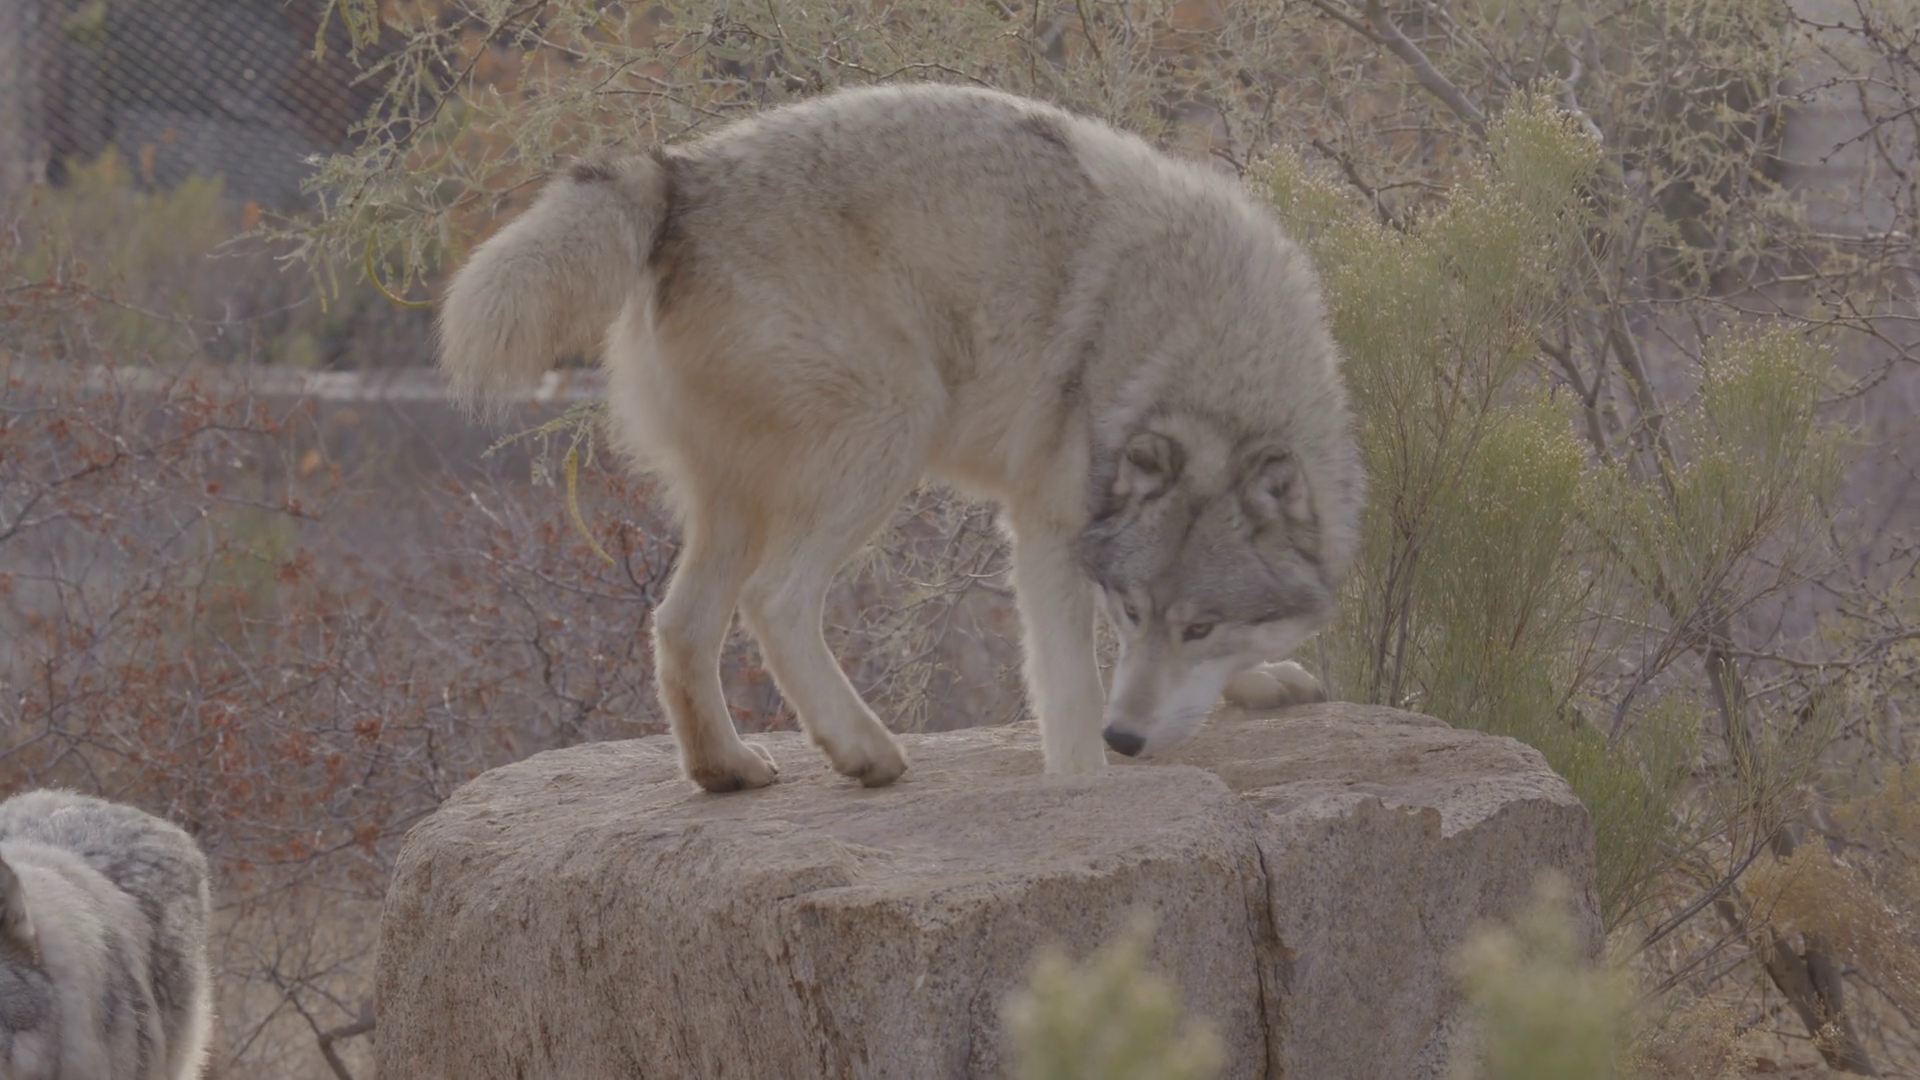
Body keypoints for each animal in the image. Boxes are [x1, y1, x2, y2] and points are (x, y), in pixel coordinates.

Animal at [438, 82, 1364, 793]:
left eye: (1201, 629)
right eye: (1135, 610)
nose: (1128, 741)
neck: (1210, 347)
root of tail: (679, 174)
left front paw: (1255, 684)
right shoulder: (1047, 529)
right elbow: (1067, 687)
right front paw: (1083, 783)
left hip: (739, 504)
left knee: (680, 624)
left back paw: (727, 770)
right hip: (889, 433)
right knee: (774, 600)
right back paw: (863, 750)